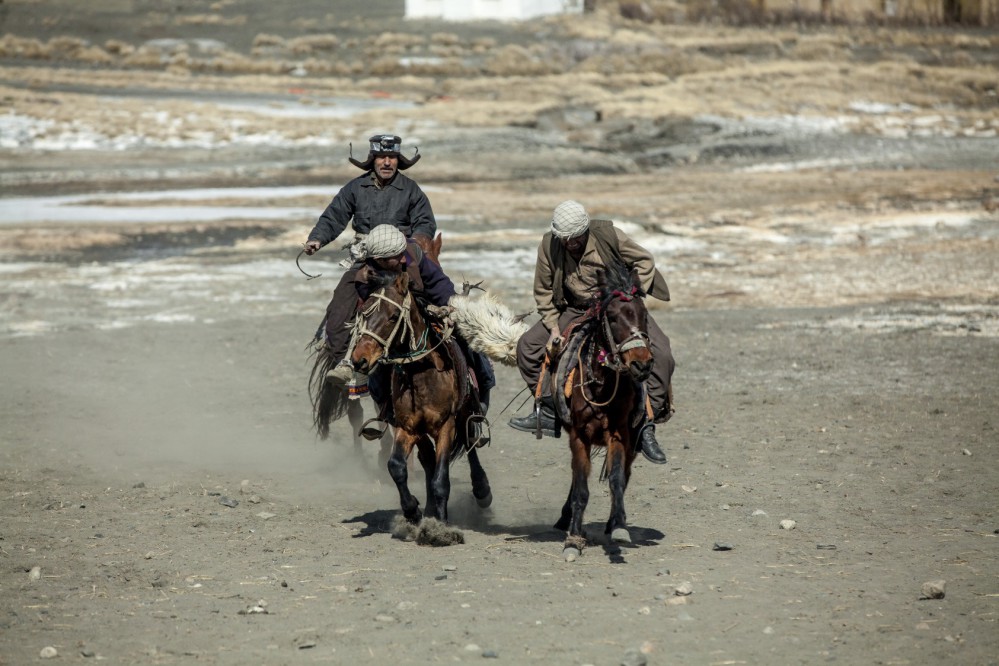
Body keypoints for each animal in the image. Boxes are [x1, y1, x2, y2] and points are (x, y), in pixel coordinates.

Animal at [352, 268, 492, 520]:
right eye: (364, 312)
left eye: (393, 316)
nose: (359, 359)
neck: (421, 375)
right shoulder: (407, 427)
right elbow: (397, 466)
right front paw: (413, 511)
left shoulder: (447, 425)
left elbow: (441, 479)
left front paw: (440, 523)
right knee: (427, 460)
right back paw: (428, 509)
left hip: (465, 412)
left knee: (469, 445)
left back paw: (482, 491)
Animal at [548, 260, 656, 560]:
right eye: (614, 317)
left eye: (644, 316)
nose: (642, 364)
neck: (601, 384)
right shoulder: (578, 436)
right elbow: (581, 489)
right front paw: (573, 540)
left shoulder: (619, 434)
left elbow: (617, 479)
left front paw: (619, 526)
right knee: (577, 479)